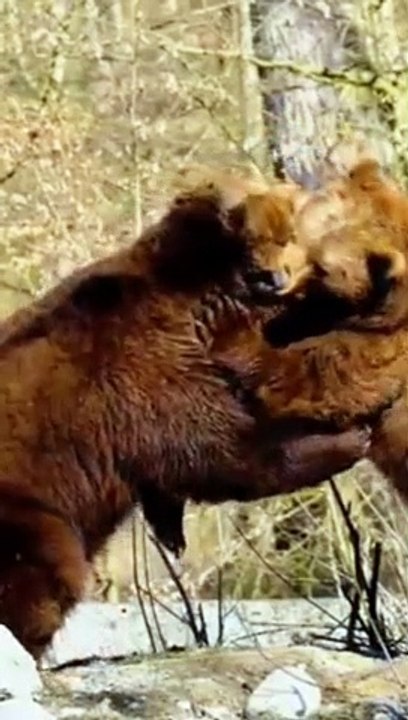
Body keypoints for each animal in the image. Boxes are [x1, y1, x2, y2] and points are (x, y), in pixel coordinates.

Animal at [0, 170, 369, 658]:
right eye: (268, 238)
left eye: (289, 235)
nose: (273, 277)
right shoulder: (147, 371)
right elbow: (222, 450)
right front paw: (349, 439)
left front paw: (171, 532)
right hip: (29, 510)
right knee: (49, 568)